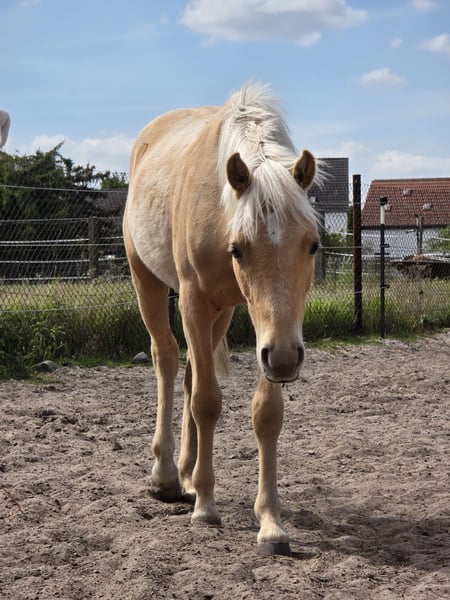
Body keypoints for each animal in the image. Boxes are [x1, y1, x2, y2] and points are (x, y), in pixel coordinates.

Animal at [123, 83, 320, 556]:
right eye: (239, 249)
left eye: (313, 245)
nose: (286, 361)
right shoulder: (194, 302)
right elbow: (207, 402)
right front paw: (206, 506)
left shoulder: (269, 329)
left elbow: (265, 414)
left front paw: (270, 523)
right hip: (148, 282)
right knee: (167, 360)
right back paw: (167, 476)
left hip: (223, 312)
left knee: (191, 371)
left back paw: (187, 475)